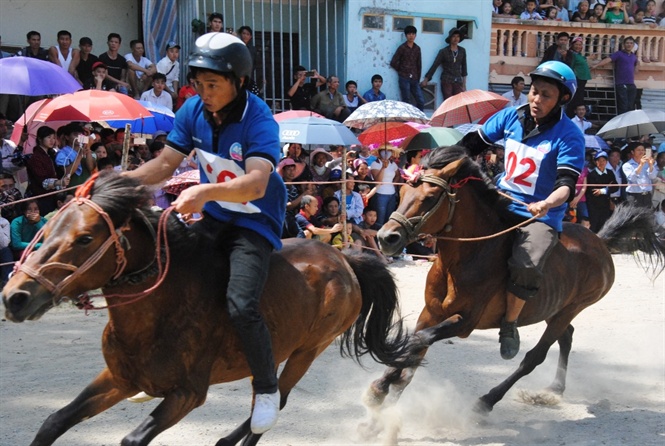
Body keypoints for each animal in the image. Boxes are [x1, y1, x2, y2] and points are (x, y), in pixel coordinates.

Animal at [1, 172, 416, 446]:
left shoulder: (187, 394)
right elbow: (54, 421)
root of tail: (345, 259)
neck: (158, 314)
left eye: (85, 238)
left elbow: (132, 439)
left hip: (308, 349)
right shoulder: (120, 379)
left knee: (275, 400)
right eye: (47, 228)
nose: (14, 297)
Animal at [364, 147, 664, 436]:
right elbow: (414, 350)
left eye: (429, 197)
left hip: (571, 308)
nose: (386, 238)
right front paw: (381, 404)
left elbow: (417, 343)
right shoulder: (431, 313)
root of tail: (600, 242)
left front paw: (379, 393)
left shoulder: (464, 322)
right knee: (567, 337)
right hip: (554, 308)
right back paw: (555, 388)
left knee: (535, 357)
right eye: (403, 192)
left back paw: (486, 402)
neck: (467, 257)